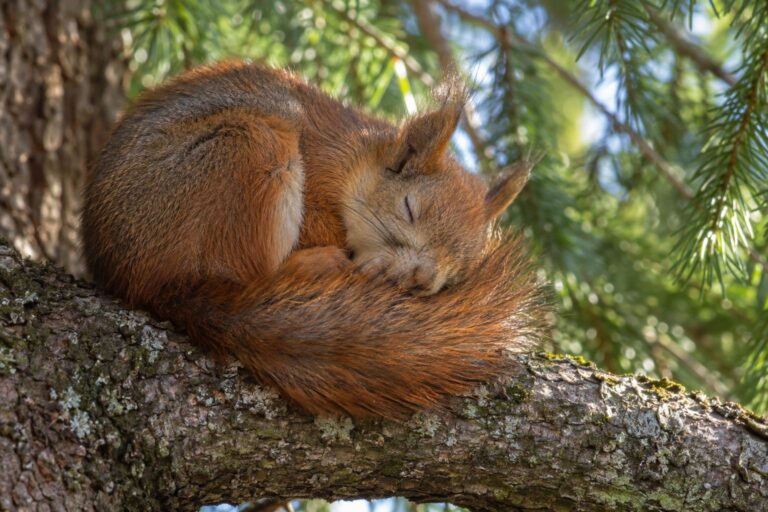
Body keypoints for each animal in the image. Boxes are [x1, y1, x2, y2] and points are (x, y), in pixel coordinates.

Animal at [82, 61, 544, 418]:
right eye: (409, 208)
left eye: (459, 269)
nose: (422, 280)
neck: (353, 162)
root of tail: (151, 283)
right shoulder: (319, 177)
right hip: (247, 147)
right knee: (250, 271)